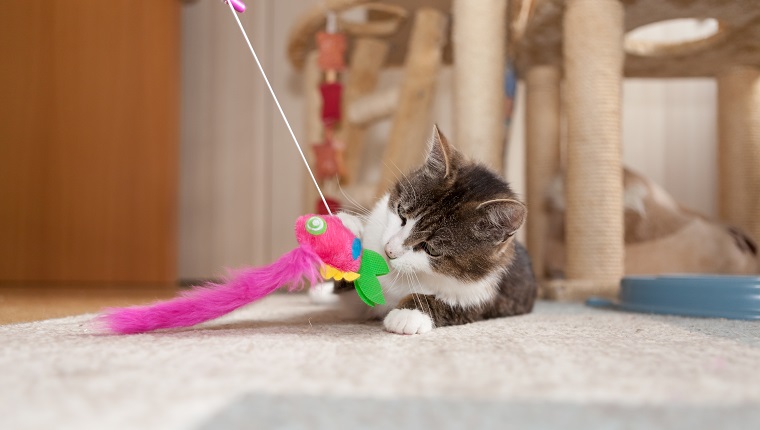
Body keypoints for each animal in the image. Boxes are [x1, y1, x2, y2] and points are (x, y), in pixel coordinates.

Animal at [336, 126, 536, 334]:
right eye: (401, 213)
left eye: (431, 249)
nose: (389, 251)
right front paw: (349, 226)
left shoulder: (484, 294)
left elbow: (453, 306)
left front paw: (408, 313)